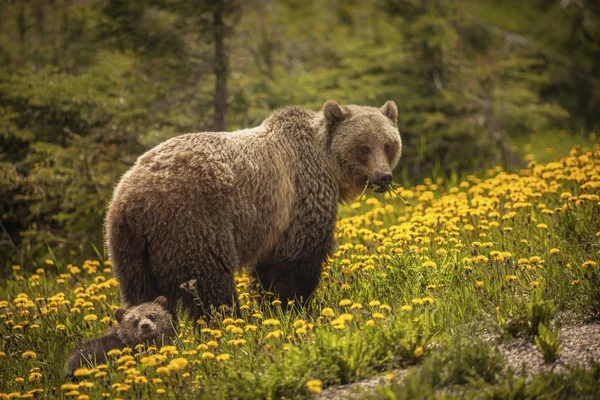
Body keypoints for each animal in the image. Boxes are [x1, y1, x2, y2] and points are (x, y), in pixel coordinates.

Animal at [105, 101, 400, 320]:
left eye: (388, 145)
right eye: (363, 147)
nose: (384, 176)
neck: (326, 165)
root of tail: (132, 199)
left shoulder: (275, 222)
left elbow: (269, 269)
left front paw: (273, 305)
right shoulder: (300, 198)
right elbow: (300, 260)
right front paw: (297, 306)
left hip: (130, 248)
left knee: (142, 293)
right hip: (192, 222)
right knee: (210, 281)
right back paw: (228, 320)